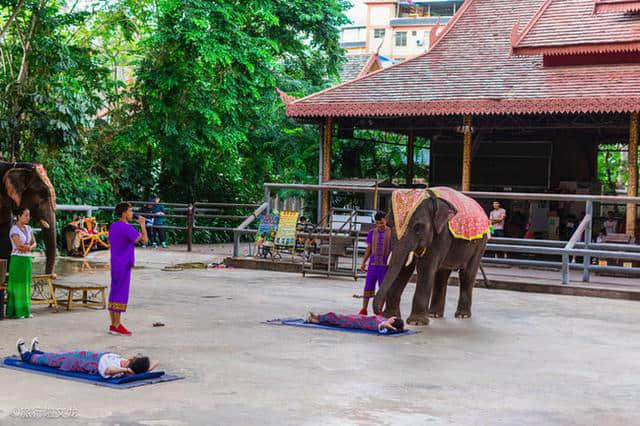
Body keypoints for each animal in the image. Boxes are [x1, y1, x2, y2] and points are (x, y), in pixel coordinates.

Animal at [372, 187, 488, 326]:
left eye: (418, 227)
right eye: (389, 224)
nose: (377, 311)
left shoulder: (442, 234)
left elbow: (425, 267)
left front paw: (416, 322)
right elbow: (405, 268)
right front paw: (390, 317)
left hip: (480, 243)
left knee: (467, 274)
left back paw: (462, 315)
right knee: (441, 275)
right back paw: (434, 314)